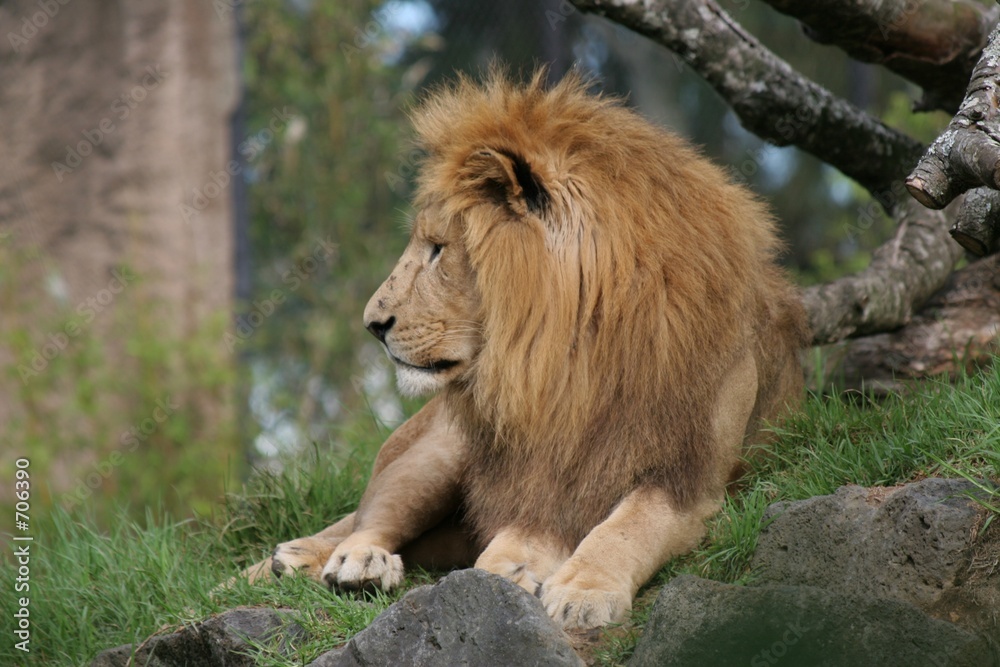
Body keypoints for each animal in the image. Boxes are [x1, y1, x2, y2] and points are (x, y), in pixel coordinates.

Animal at [244, 69, 809, 631]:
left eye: (438, 249)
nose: (372, 325)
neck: (580, 359)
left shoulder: (693, 477)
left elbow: (629, 525)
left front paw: (581, 589)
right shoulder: (541, 478)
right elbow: (522, 535)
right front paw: (511, 574)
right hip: (435, 454)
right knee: (369, 518)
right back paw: (346, 561)